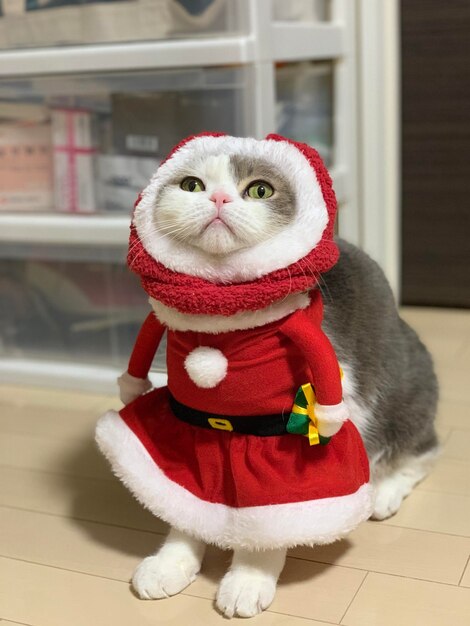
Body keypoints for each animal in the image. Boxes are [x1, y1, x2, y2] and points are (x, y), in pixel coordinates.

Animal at [97, 134, 438, 616]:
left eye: (260, 190)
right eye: (191, 184)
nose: (219, 197)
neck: (224, 328)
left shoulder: (294, 431)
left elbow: (270, 517)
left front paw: (248, 578)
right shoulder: (187, 424)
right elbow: (183, 499)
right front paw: (171, 563)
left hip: (404, 397)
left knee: (421, 452)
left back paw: (383, 492)